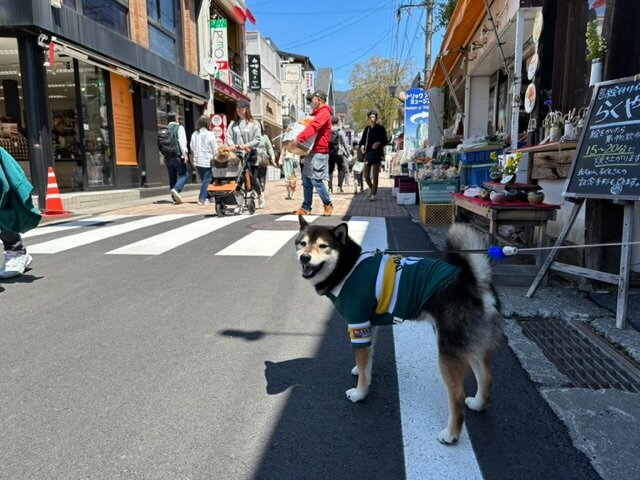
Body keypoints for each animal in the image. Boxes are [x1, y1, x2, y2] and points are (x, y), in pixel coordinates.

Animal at [294, 216, 500, 444]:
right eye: (302, 243)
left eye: (323, 246)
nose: (304, 257)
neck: (347, 268)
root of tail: (476, 282)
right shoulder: (368, 325)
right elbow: (367, 359)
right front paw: (362, 373)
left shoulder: (358, 324)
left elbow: (363, 362)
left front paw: (360, 393)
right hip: (473, 346)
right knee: (486, 378)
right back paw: (479, 404)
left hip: (449, 352)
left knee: (457, 397)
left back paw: (451, 434)